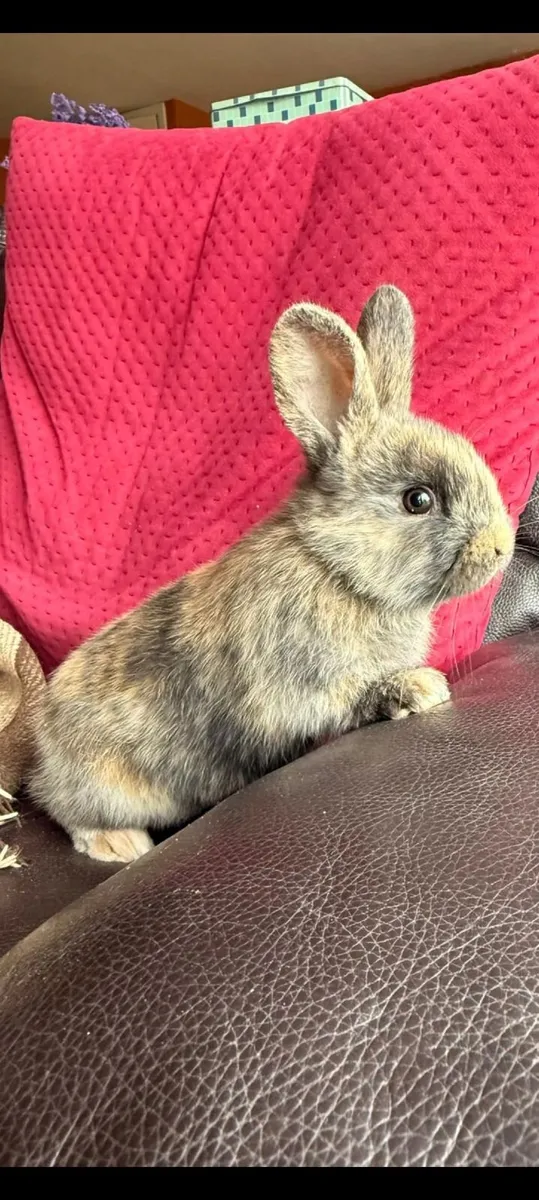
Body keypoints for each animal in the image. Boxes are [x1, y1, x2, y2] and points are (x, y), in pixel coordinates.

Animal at [29, 285, 514, 864]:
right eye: (418, 499)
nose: (503, 546)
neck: (335, 566)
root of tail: (42, 753)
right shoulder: (298, 686)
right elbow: (349, 699)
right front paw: (422, 689)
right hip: (104, 785)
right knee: (72, 816)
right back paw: (120, 845)